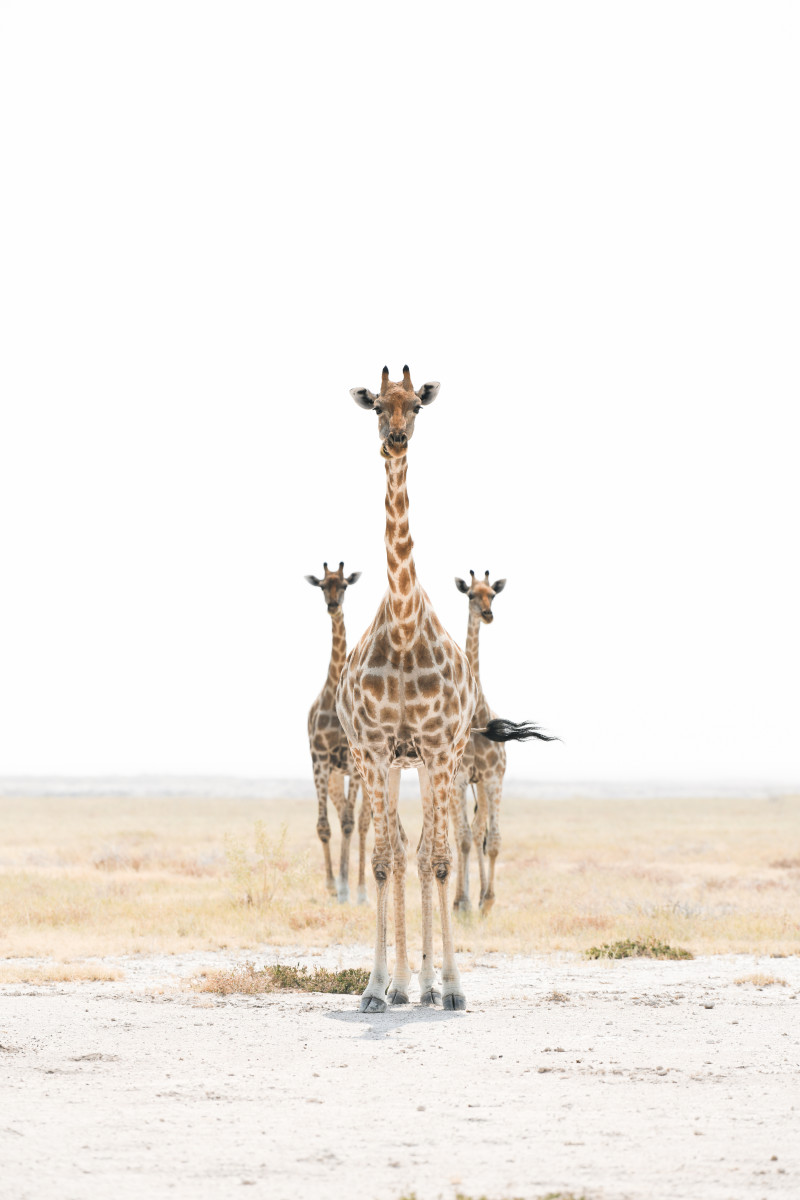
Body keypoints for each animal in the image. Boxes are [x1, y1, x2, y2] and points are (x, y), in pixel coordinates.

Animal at [335, 364, 554, 1012]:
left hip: (440, 761)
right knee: (402, 849)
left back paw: (429, 984)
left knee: (433, 850)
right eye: (376, 405)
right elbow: (386, 861)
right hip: (385, 764)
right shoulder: (376, 749)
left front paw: (452, 987)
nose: (395, 438)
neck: (406, 626)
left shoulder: (437, 749)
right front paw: (376, 987)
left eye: (417, 406)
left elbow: (437, 859)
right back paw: (405, 983)